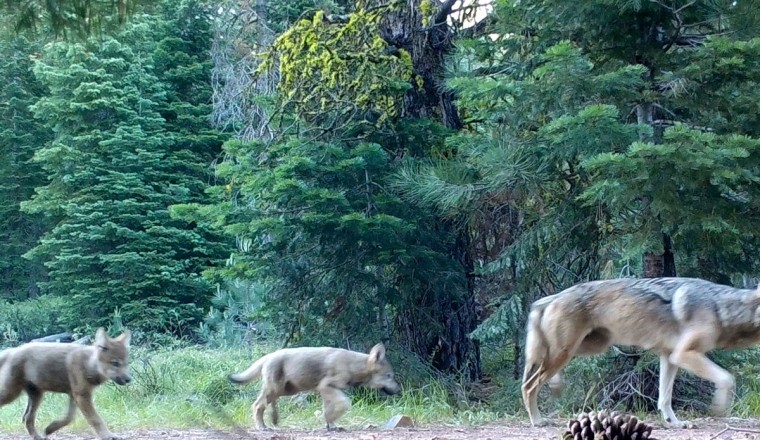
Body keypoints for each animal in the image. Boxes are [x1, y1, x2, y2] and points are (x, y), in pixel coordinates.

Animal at [0, 327, 131, 440]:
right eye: (115, 363)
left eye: (126, 363)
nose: (129, 379)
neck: (88, 364)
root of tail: (12, 350)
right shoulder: (82, 396)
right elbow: (95, 419)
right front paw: (108, 435)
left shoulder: (74, 395)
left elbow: (69, 418)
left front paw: (50, 428)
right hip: (11, 393)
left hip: (37, 396)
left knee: (27, 418)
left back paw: (38, 437)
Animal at [228, 343, 401, 430]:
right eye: (390, 376)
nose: (400, 390)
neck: (353, 366)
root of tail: (268, 355)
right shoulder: (326, 387)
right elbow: (344, 403)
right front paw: (331, 422)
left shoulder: (326, 391)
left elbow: (327, 411)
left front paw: (331, 425)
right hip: (276, 390)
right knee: (257, 405)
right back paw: (262, 427)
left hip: (284, 391)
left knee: (267, 405)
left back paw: (273, 421)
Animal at [522, 277, 760, 428]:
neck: (722, 308)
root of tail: (551, 298)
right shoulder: (684, 354)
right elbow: (727, 378)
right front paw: (719, 408)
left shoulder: (670, 356)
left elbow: (664, 398)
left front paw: (674, 423)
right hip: (566, 352)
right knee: (529, 385)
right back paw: (537, 420)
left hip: (588, 348)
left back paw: (556, 386)